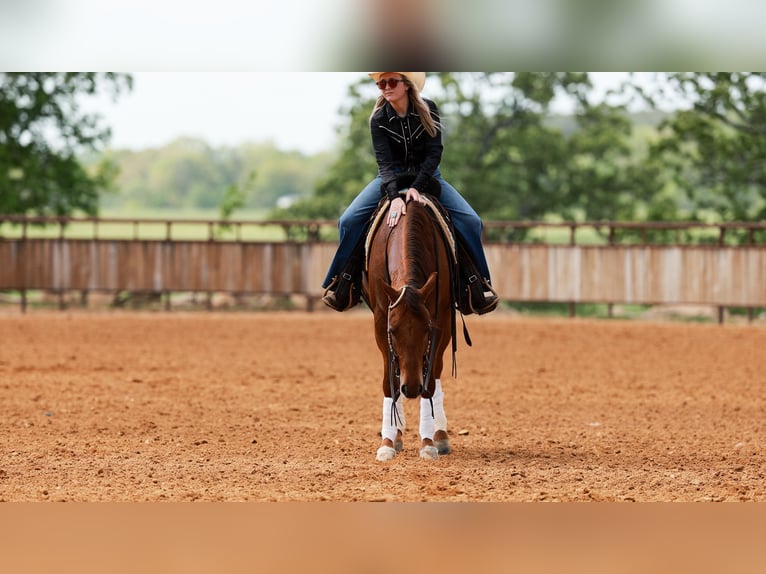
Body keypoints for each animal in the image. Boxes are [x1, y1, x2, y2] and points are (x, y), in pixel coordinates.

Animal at [364, 196, 455, 461]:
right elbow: (389, 382)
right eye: (393, 330)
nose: (411, 388)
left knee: (436, 371)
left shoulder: (439, 318)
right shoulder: (380, 319)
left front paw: (428, 443)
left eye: (426, 330)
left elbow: (430, 381)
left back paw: (440, 434)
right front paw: (386, 442)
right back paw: (397, 435)